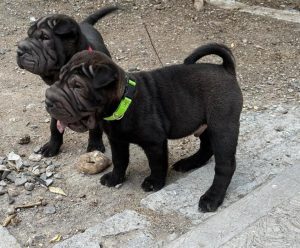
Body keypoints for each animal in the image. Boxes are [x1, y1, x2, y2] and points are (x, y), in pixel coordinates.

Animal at [16, 4, 117, 157]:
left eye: (45, 37)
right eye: (29, 34)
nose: (19, 50)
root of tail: (85, 23)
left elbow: (95, 127)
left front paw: (95, 145)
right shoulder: (54, 99)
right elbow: (54, 125)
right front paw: (52, 146)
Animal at [45, 43, 244, 212]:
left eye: (77, 86)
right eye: (59, 78)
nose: (48, 99)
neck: (123, 103)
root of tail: (225, 69)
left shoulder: (154, 143)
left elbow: (156, 164)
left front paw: (154, 183)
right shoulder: (117, 140)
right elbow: (119, 160)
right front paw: (115, 178)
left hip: (222, 127)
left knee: (225, 166)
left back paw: (212, 198)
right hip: (205, 125)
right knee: (206, 147)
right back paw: (189, 163)